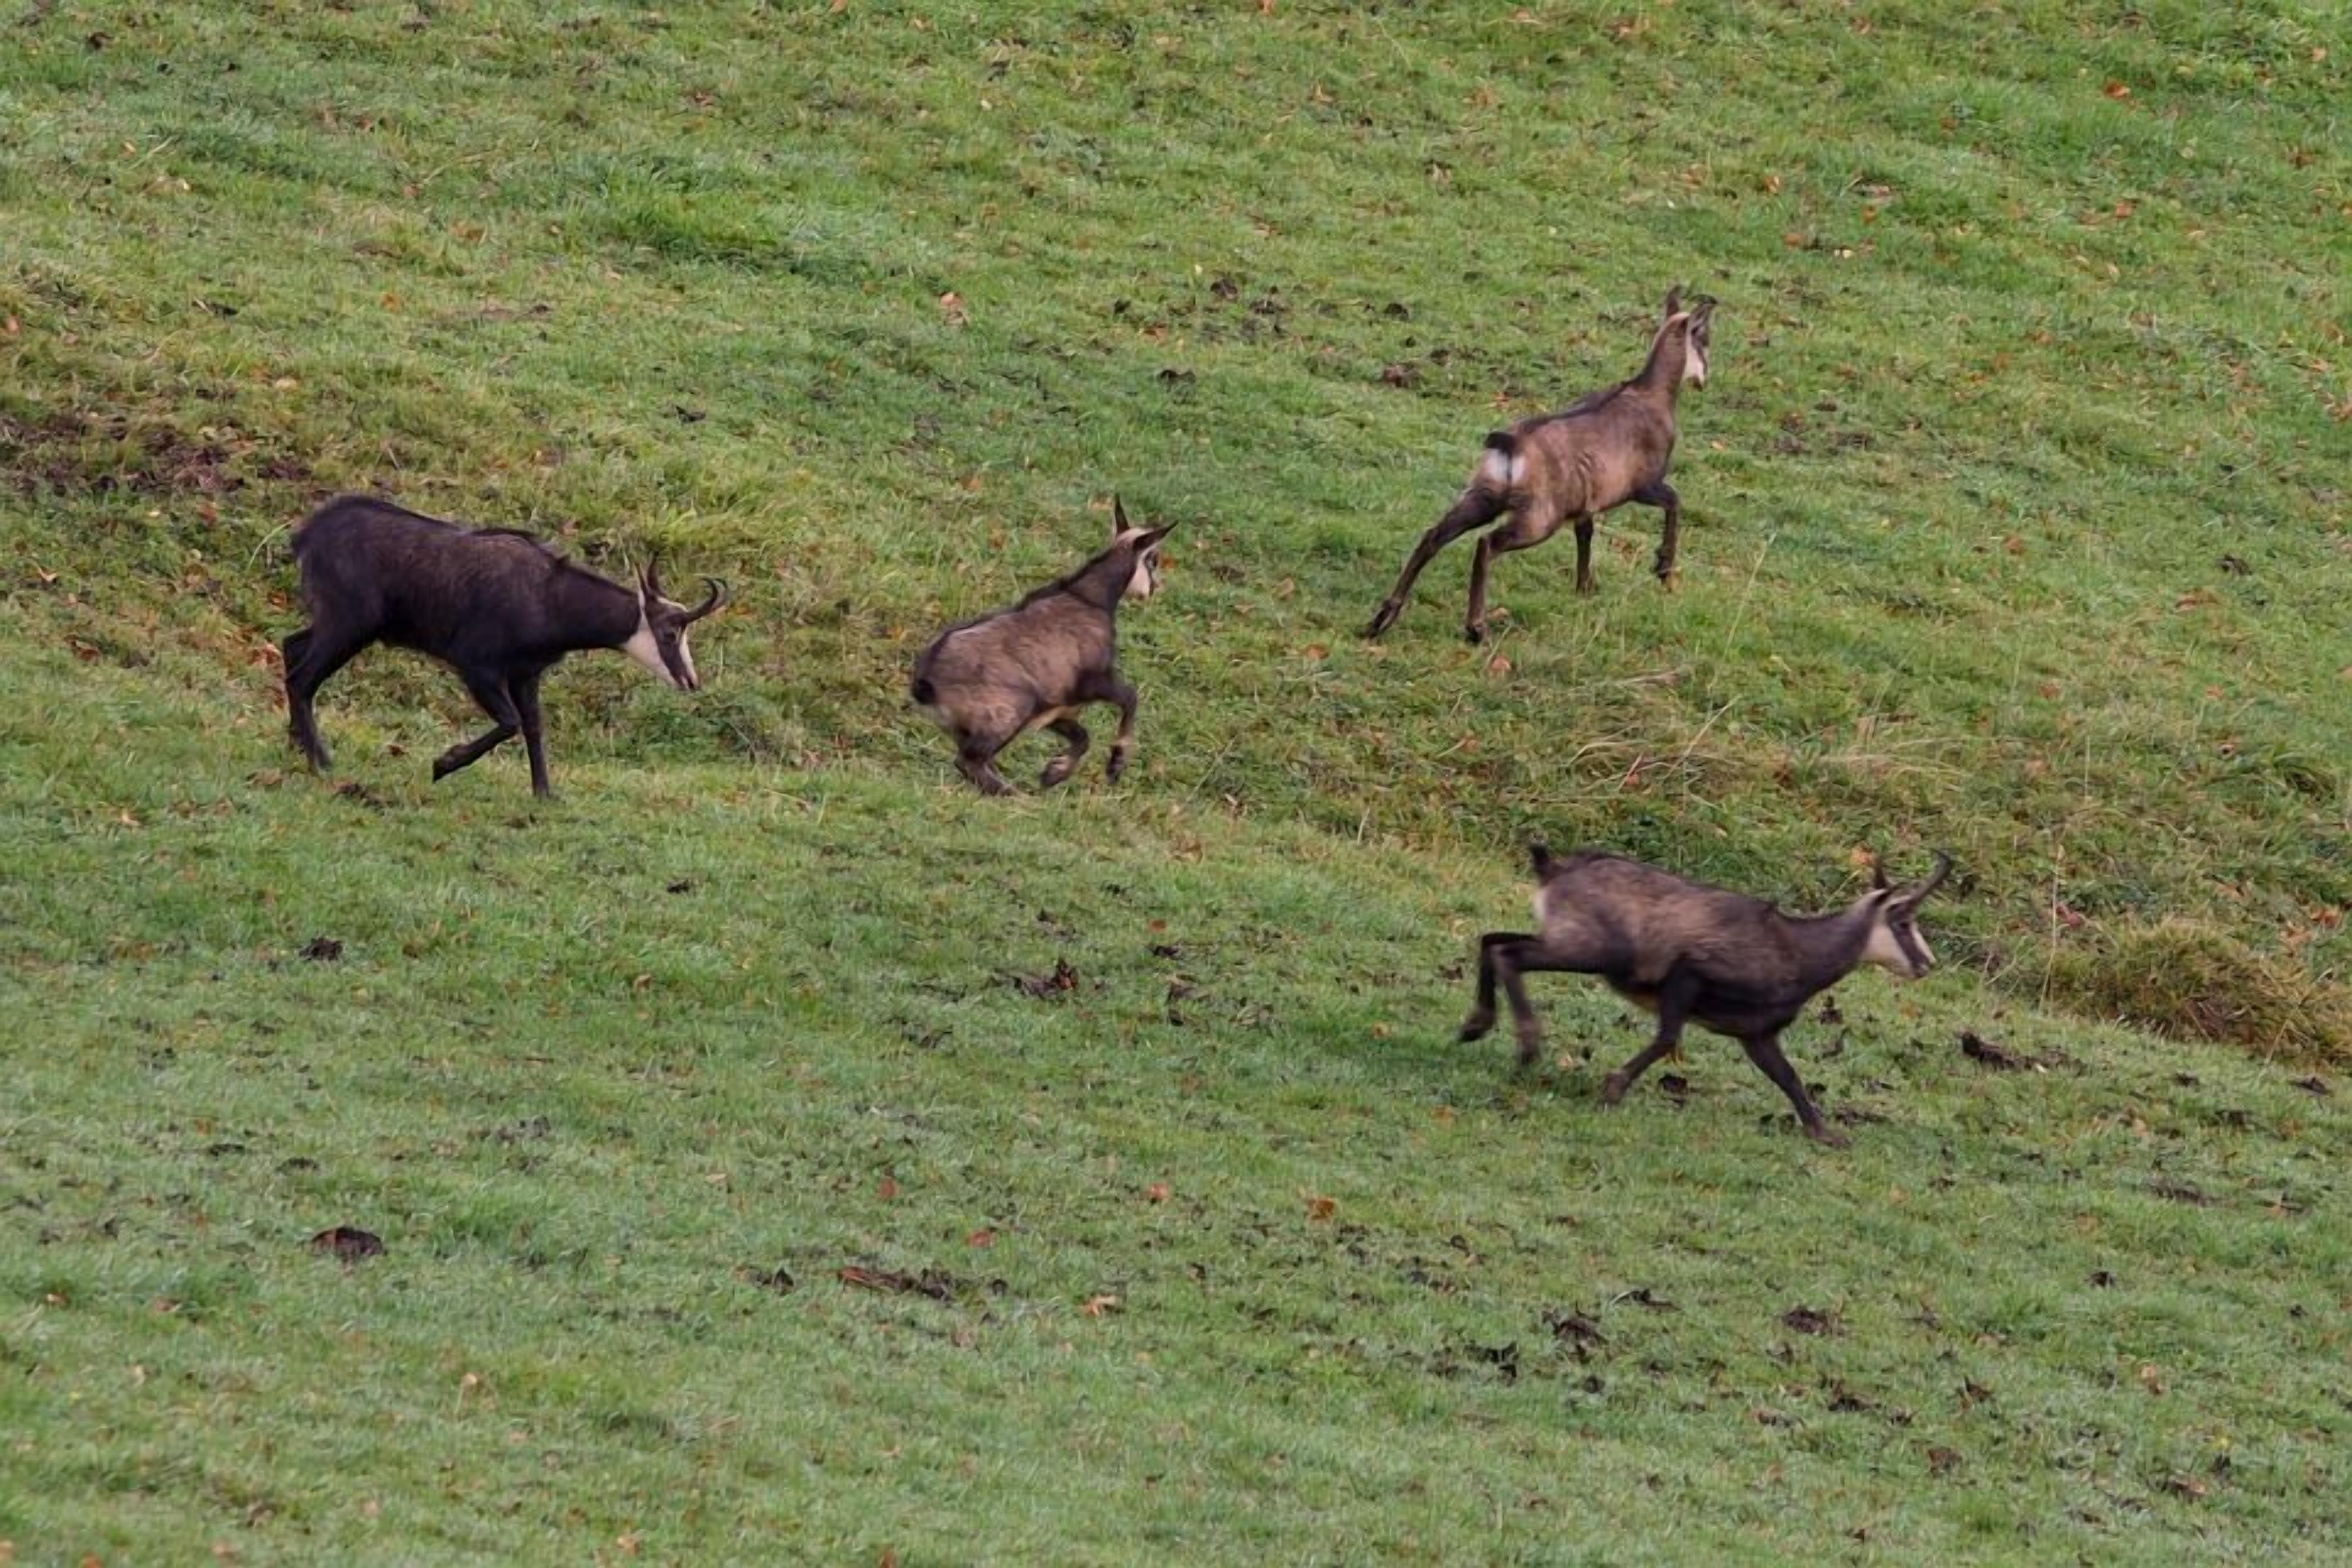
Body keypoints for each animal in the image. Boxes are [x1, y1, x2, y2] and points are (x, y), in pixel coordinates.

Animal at [281, 494, 725, 799]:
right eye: (670, 634)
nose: (691, 681)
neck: (549, 599)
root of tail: (308, 535)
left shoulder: (526, 675)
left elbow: (533, 726)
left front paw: (545, 794)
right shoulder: (478, 667)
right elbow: (511, 722)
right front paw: (443, 765)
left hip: (336, 624)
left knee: (291, 649)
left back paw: (296, 745)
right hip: (349, 625)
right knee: (303, 677)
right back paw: (322, 761)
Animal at [910, 496, 1172, 795]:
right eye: (1153, 560)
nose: (1155, 588)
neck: (1091, 597)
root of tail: (925, 684)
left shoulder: (1056, 708)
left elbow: (1083, 737)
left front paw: (1053, 774)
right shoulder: (1093, 681)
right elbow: (1130, 698)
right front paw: (1115, 765)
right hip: (1015, 708)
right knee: (969, 761)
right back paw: (1015, 795)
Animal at [1364, 287, 1715, 643]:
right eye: (1703, 338)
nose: (1704, 378)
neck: (1652, 394)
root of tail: (1509, 445)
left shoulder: (1584, 504)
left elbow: (1585, 535)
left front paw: (1584, 588)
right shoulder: (1644, 484)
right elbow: (1674, 501)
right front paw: (1663, 568)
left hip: (1483, 495)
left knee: (1434, 535)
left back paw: (1383, 618)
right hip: (1539, 517)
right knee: (1487, 543)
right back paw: (1477, 627)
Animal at [1458, 845, 1951, 1147]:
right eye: (1903, 920)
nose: (1927, 965)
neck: (1797, 950)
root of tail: (1556, 870)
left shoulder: (1756, 1034)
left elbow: (1789, 1077)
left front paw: (1825, 1133)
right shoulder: (1689, 974)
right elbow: (1666, 1040)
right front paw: (1613, 1090)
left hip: (1567, 941)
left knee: (1492, 940)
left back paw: (1476, 1025)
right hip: (1592, 950)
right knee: (1509, 953)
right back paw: (1526, 1046)